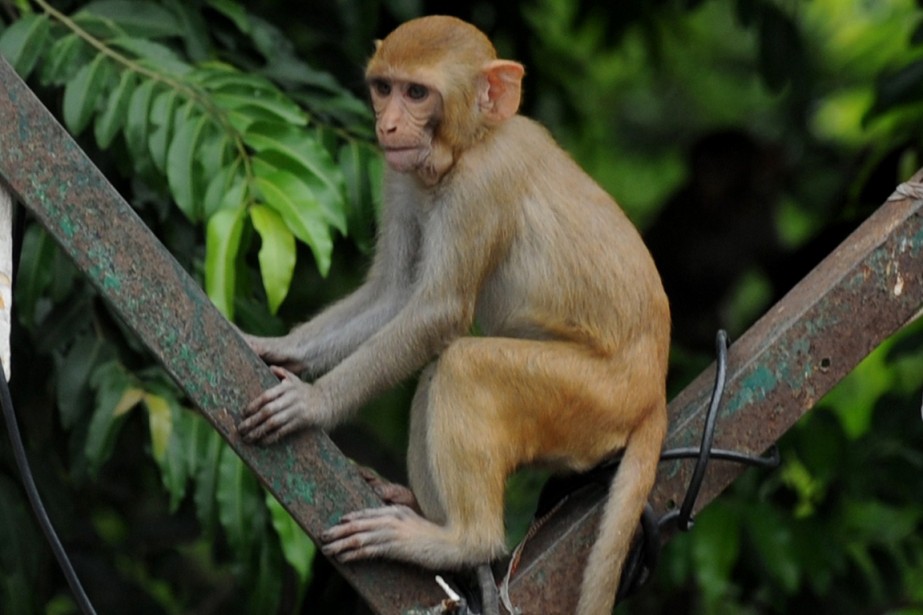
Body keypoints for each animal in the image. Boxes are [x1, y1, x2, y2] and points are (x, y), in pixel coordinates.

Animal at [237, 15, 670, 615]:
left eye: (418, 93)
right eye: (384, 88)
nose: (389, 124)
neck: (469, 146)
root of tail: (653, 394)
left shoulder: (484, 183)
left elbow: (436, 313)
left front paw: (312, 402)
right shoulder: (399, 174)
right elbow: (395, 293)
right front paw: (274, 348)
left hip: (594, 401)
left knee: (465, 365)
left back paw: (463, 541)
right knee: (437, 370)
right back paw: (423, 514)